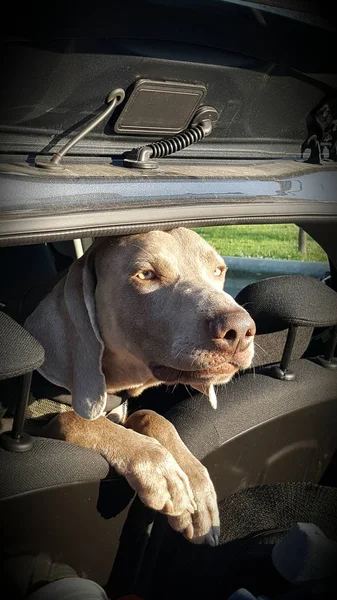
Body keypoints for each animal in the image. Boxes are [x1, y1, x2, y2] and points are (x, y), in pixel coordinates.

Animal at [25, 227, 253, 548]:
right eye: (146, 274)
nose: (241, 330)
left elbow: (150, 415)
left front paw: (196, 490)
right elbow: (74, 419)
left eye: (219, 270)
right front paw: (162, 473)